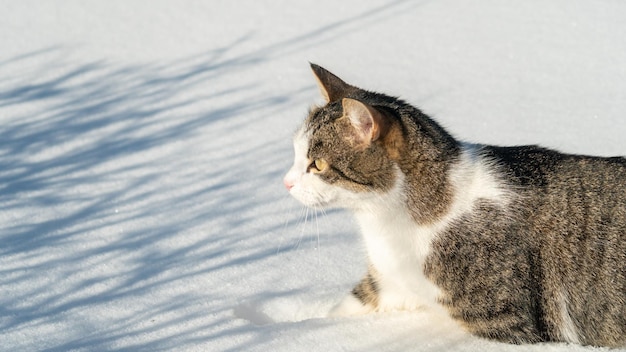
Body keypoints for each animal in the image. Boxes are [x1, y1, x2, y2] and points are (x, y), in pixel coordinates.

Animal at [282, 63, 624, 346]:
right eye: (296, 153)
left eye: (318, 164)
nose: (286, 182)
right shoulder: (388, 282)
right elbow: (341, 311)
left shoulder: (506, 321)